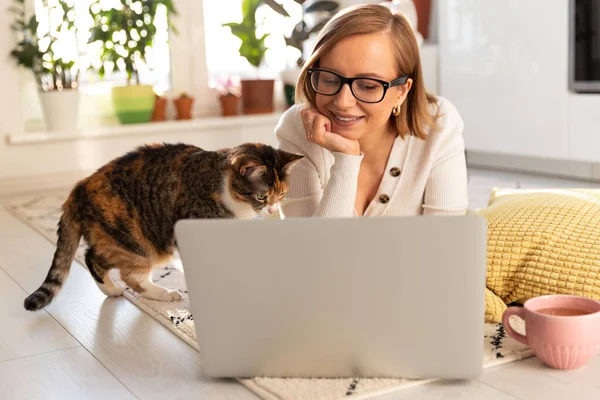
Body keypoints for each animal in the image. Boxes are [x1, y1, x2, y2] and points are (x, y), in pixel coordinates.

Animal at [23, 142, 304, 310]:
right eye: (262, 196)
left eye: (281, 194)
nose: (272, 210)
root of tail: (80, 186)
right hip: (135, 241)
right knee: (126, 273)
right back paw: (161, 293)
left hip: (116, 239)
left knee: (93, 256)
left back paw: (112, 290)